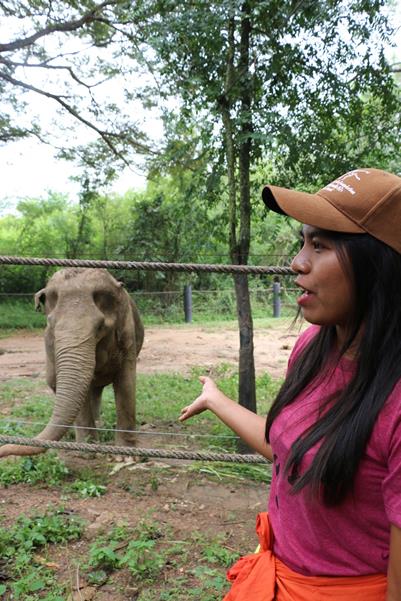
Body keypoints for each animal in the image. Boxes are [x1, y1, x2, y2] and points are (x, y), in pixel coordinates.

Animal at [0, 264, 144, 458]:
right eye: (51, 325)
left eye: (100, 327)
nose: (3, 449)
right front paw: (87, 452)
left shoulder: (128, 333)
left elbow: (126, 382)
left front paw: (126, 455)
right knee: (57, 382)